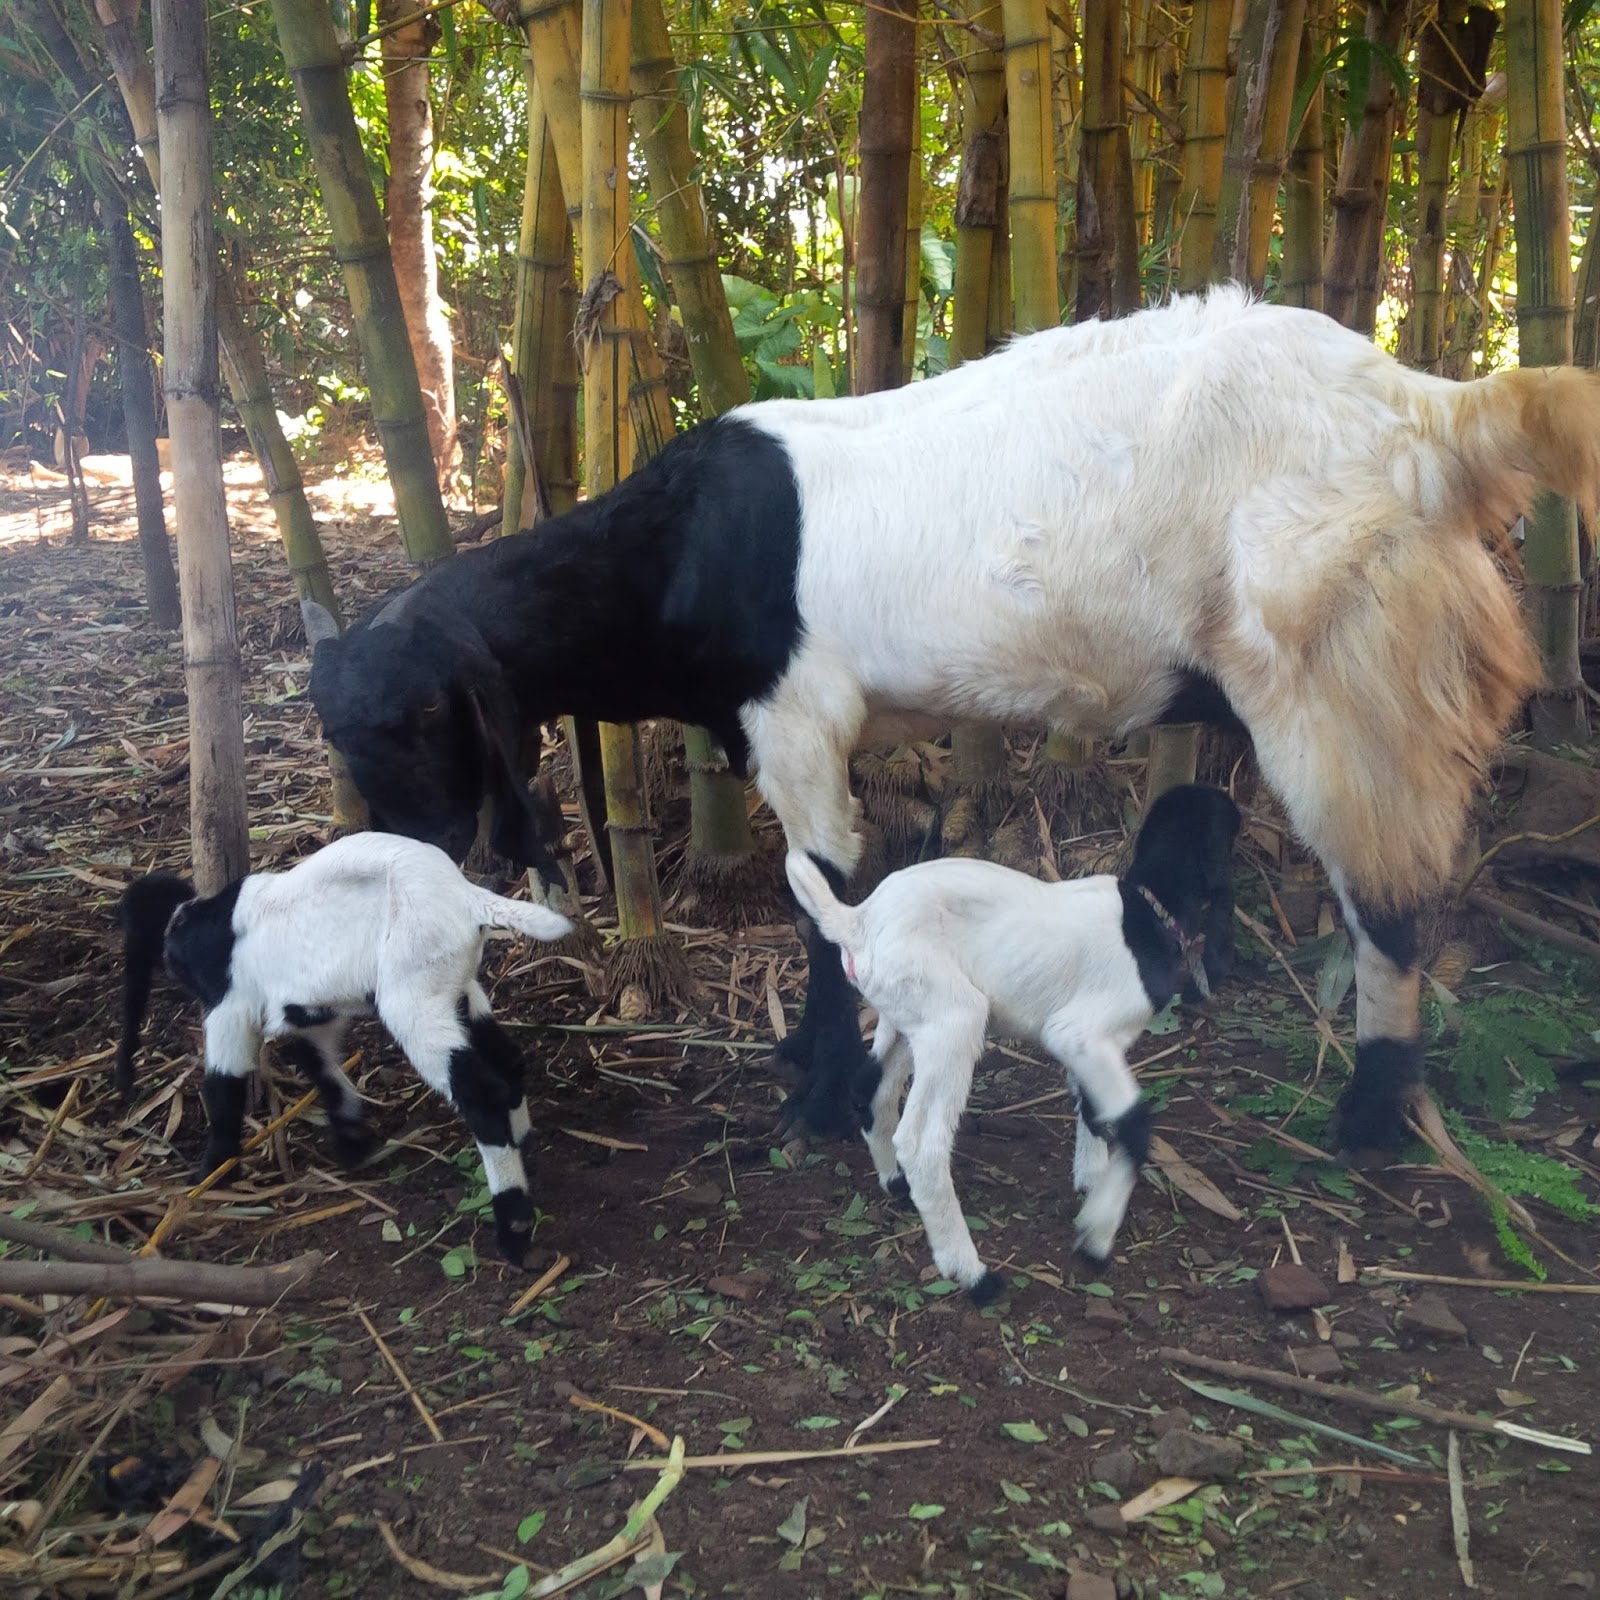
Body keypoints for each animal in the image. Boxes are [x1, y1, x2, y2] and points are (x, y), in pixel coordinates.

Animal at [118, 832, 572, 1267]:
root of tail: (467, 898)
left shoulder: (230, 1003)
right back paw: (522, 1140)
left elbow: (224, 1082)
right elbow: (320, 1066)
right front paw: (352, 1142)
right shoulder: (308, 1012)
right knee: (507, 1061)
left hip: (411, 994)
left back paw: (514, 1232)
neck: (199, 924)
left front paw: (212, 1172)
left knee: (479, 1092)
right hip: (456, 987)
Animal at [780, 784, 1241, 1299]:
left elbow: (1095, 1113)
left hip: (905, 1013)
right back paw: (970, 1272)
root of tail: (856, 921)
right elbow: (1135, 1124)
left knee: (871, 1089)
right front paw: (1096, 1235)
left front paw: (1091, 1182)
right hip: (955, 1020)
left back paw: (896, 1184)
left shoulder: (1092, 1049)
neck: (1145, 915)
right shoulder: (1078, 1032)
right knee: (921, 1143)